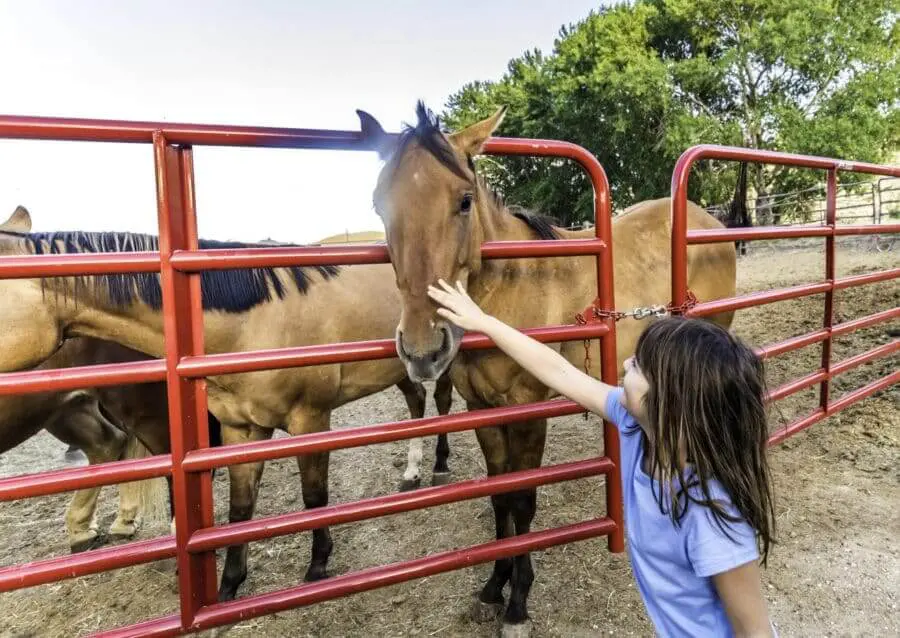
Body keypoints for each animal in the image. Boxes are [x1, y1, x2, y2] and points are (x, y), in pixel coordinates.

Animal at [0, 204, 454, 601]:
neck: (251, 324)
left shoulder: (309, 419)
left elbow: (314, 496)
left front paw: (318, 564)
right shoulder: (241, 428)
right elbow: (239, 509)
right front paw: (229, 583)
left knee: (442, 402)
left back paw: (439, 466)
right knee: (416, 404)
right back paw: (412, 471)